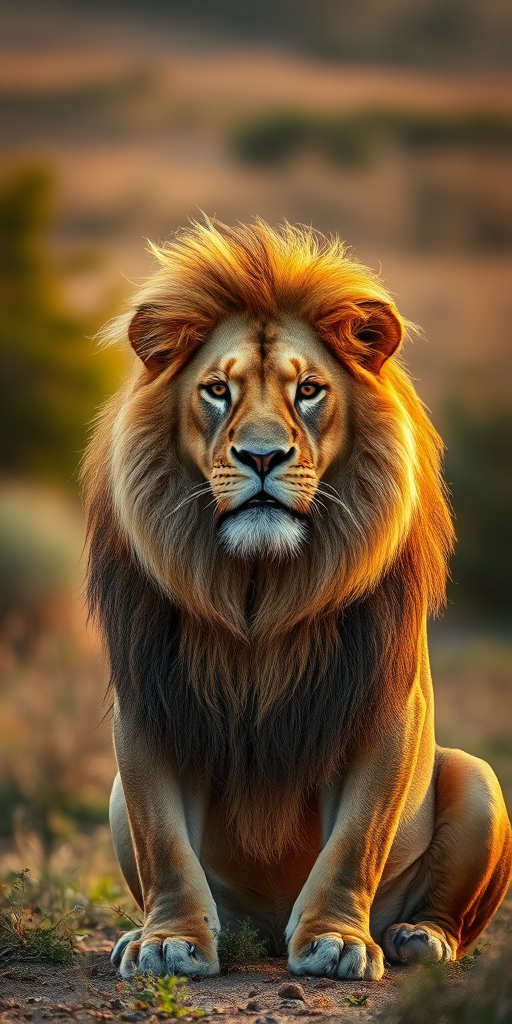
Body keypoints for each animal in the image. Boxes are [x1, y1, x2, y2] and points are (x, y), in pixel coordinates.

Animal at [84, 219, 511, 981]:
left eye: (309, 389)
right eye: (216, 391)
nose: (261, 457)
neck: (262, 589)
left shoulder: (385, 708)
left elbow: (354, 844)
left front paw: (336, 940)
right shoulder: (149, 707)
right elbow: (163, 839)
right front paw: (169, 941)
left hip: (480, 777)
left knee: (452, 914)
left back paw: (416, 937)